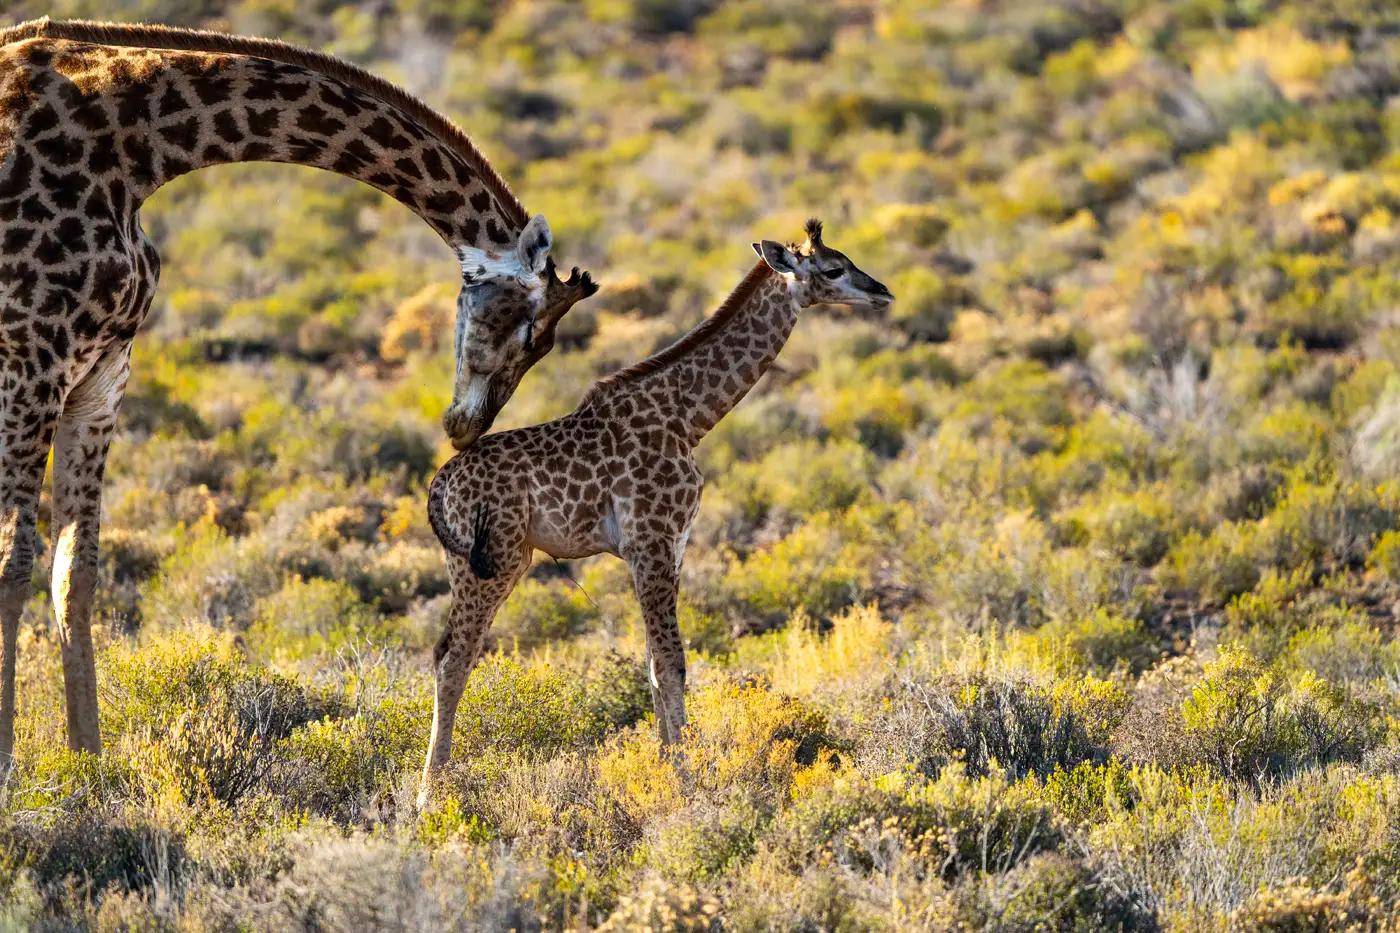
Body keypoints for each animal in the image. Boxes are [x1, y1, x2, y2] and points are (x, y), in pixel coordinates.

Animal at [0, 18, 597, 762]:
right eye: (529, 333)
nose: (465, 427)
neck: (138, 147)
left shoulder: (101, 373)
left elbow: (74, 572)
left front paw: (89, 763)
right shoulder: (32, 358)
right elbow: (13, 563)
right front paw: (10, 766)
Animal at [420, 220, 893, 795]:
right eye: (833, 268)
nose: (882, 292)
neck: (689, 418)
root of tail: (439, 488)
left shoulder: (672, 545)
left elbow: (652, 666)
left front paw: (670, 765)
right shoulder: (651, 540)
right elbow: (672, 662)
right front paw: (685, 780)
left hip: (478, 562)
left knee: (444, 653)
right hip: (494, 564)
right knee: (454, 659)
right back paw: (430, 795)